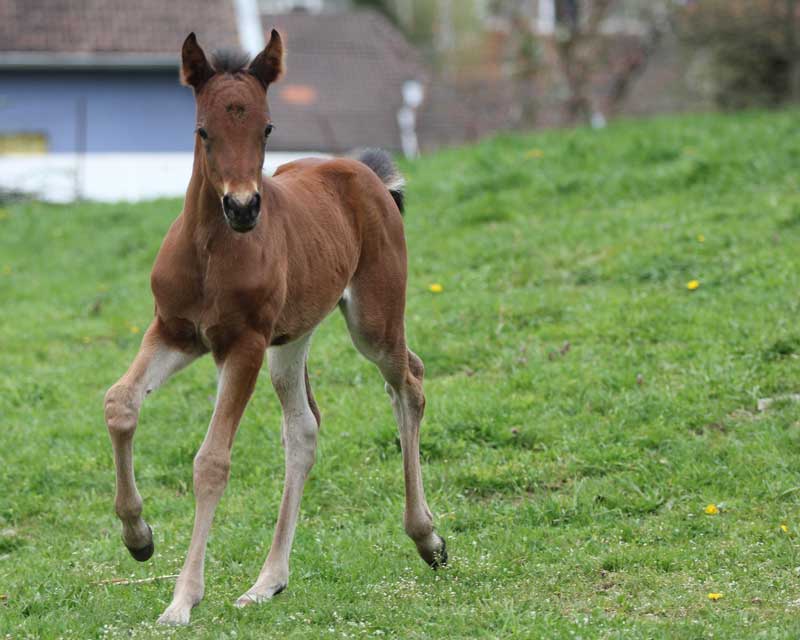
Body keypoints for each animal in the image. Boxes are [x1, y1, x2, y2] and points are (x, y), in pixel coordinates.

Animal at [103, 30, 446, 625]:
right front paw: (139, 538)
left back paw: (427, 539)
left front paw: (182, 600)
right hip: (292, 339)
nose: (243, 207)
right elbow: (120, 403)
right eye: (203, 130)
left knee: (409, 382)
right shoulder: (174, 331)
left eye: (266, 127)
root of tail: (366, 174)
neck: (211, 250)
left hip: (372, 321)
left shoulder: (243, 344)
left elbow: (211, 462)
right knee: (303, 428)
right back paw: (267, 582)